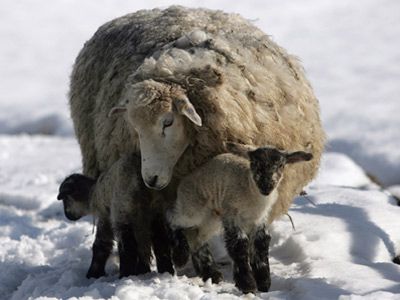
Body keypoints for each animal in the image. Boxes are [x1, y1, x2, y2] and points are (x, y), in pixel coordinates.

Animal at [167, 143, 314, 292]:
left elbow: (261, 244)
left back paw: (211, 274)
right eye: (254, 163)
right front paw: (247, 284)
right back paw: (180, 256)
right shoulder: (232, 216)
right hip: (193, 207)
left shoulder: (259, 221)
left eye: (281, 165)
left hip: (211, 218)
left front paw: (264, 282)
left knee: (197, 238)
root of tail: (183, 182)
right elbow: (239, 245)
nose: (266, 186)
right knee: (174, 220)